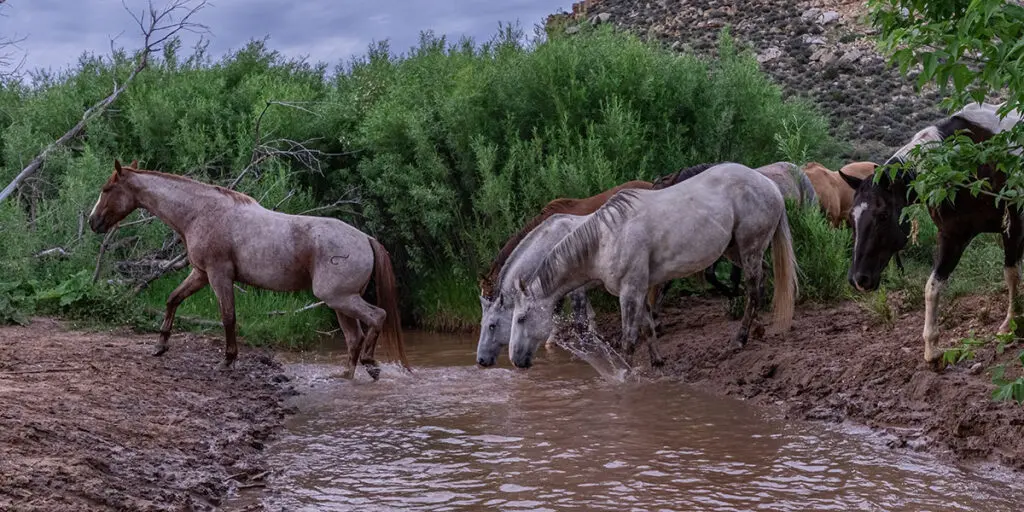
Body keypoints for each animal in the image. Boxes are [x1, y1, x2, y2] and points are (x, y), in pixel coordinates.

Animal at [88, 159, 410, 379]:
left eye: (107, 189)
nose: (93, 222)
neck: (200, 212)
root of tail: (366, 239)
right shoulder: (201, 274)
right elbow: (173, 299)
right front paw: (160, 346)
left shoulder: (218, 275)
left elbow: (228, 317)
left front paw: (228, 360)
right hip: (341, 303)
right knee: (354, 339)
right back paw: (347, 375)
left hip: (339, 298)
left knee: (377, 317)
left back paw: (371, 363)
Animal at [508, 162, 799, 369]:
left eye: (521, 318)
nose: (516, 360)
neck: (605, 239)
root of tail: (769, 183)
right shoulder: (640, 288)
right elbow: (647, 328)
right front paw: (658, 363)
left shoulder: (630, 292)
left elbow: (629, 339)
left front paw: (623, 376)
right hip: (736, 250)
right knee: (762, 281)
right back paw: (758, 329)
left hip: (749, 248)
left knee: (753, 290)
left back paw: (740, 339)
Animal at [839, 102, 1024, 366]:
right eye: (851, 218)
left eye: (882, 215)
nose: (858, 279)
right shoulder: (952, 235)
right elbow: (932, 286)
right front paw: (932, 347)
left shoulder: (1013, 228)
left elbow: (1011, 275)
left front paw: (1011, 323)